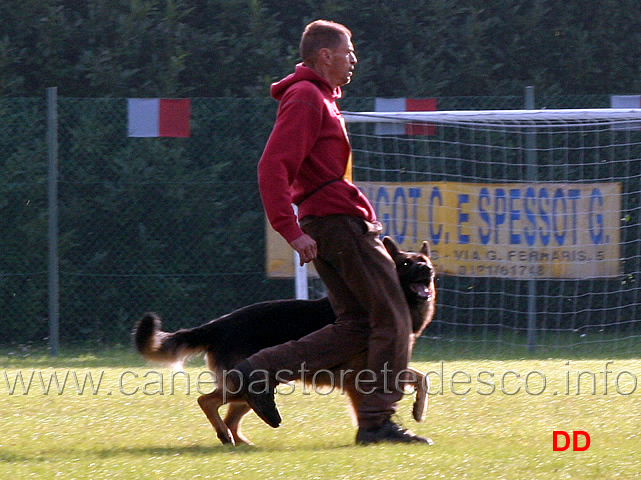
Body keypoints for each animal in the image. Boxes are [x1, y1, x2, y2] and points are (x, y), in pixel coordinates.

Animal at [134, 236, 436, 446]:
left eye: (424, 260)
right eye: (406, 263)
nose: (427, 270)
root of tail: (218, 324)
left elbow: (423, 378)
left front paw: (417, 412)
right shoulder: (359, 378)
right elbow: (371, 403)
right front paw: (374, 431)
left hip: (250, 394)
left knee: (231, 417)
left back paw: (239, 443)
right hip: (243, 386)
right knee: (206, 401)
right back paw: (226, 436)